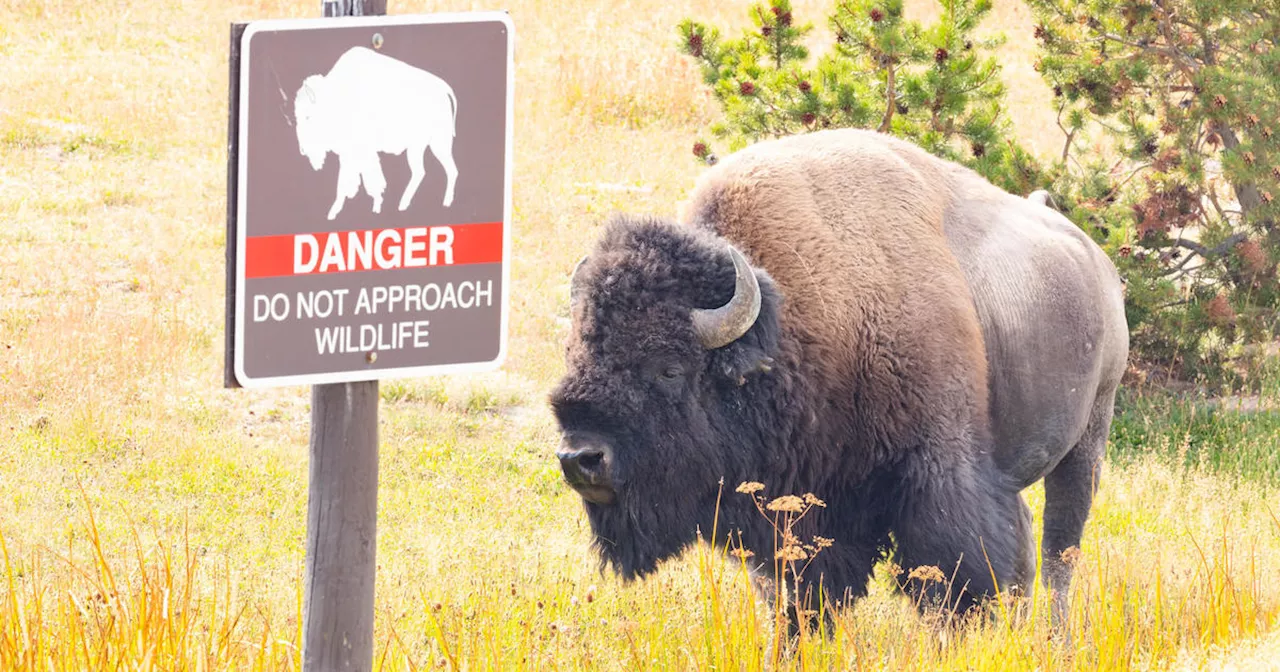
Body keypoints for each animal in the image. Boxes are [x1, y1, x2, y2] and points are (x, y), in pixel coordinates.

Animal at [550, 129, 1131, 624]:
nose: (581, 459)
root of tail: (1096, 262)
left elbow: (953, 576)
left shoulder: (938, 473)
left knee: (1059, 550)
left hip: (1087, 440)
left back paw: (1053, 635)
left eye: (670, 368)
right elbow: (795, 594)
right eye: (575, 354)